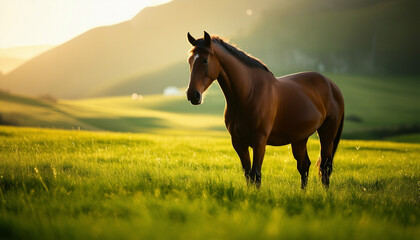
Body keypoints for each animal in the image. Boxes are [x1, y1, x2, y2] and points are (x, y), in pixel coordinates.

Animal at [187, 31, 344, 189]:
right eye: (190, 61)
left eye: (205, 60)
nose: (192, 95)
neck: (248, 94)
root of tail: (332, 85)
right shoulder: (238, 142)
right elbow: (248, 174)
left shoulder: (260, 141)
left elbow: (256, 175)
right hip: (300, 138)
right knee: (304, 166)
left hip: (327, 136)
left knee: (325, 168)